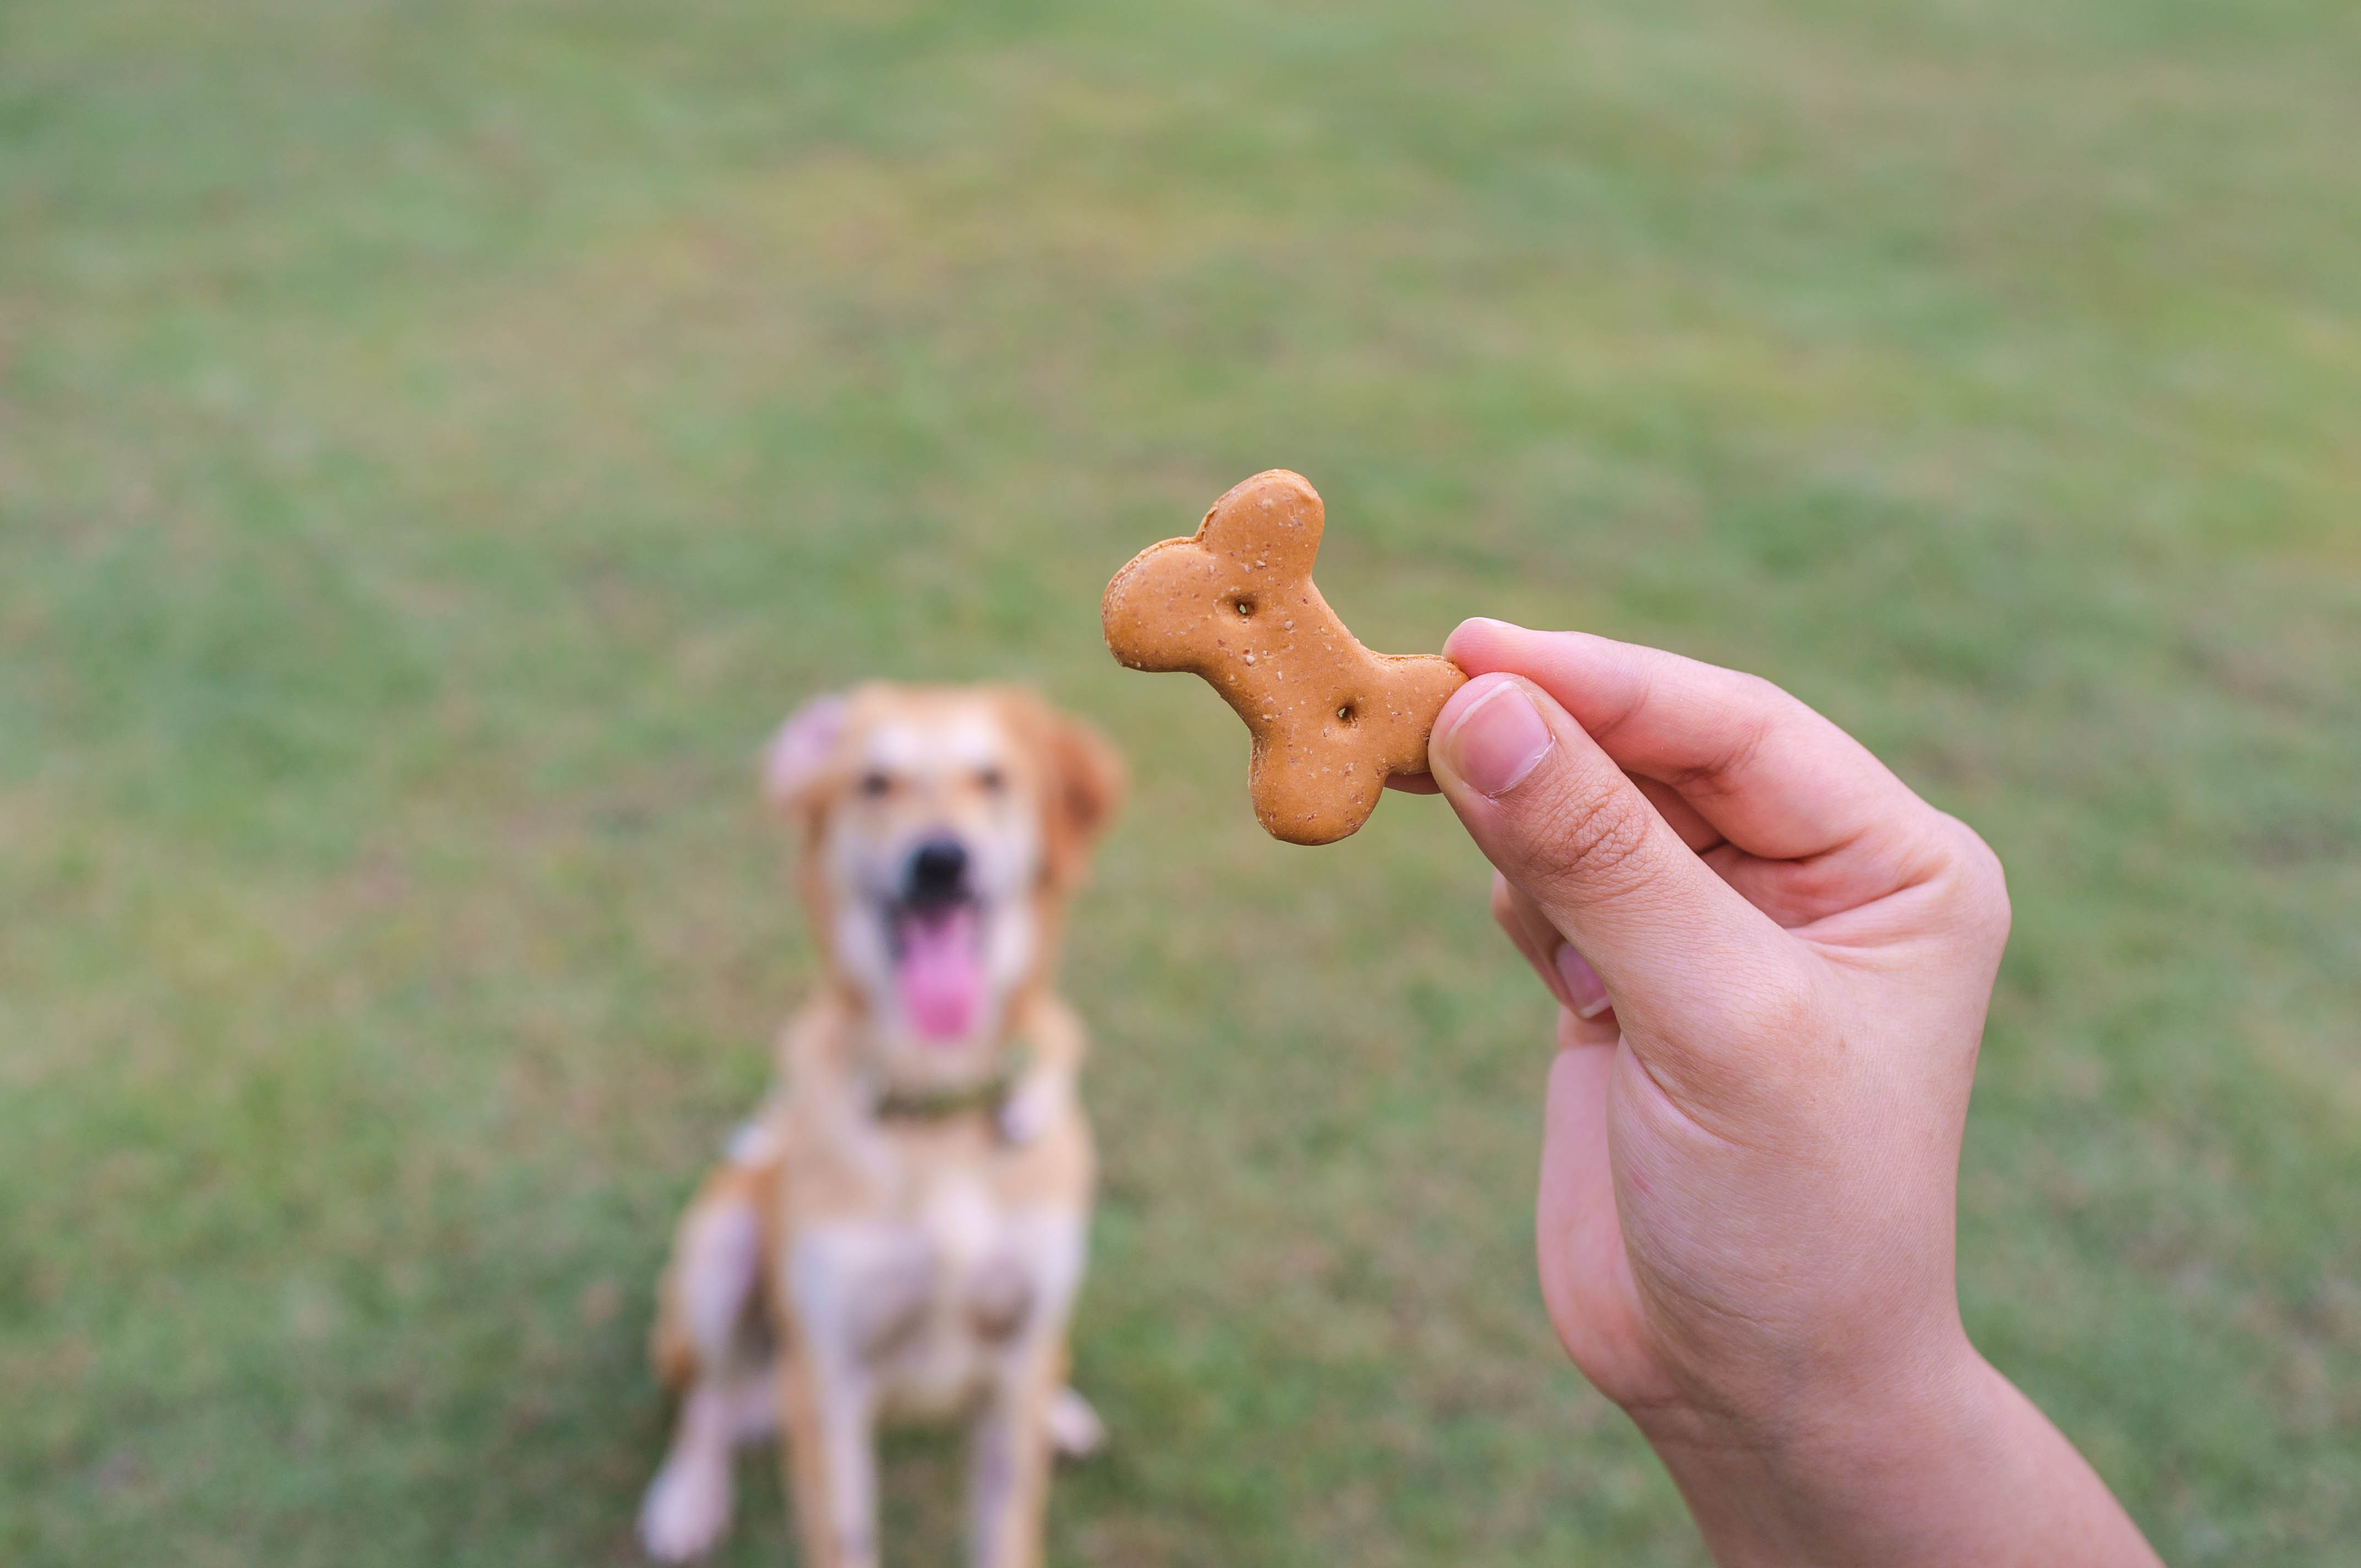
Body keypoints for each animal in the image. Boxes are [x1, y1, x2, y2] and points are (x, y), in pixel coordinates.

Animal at [637, 684, 1124, 1567]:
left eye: (992, 779)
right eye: (873, 783)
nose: (941, 861)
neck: (938, 1104)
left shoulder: (1015, 1358)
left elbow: (1006, 1525)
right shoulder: (829, 1383)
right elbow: (842, 1534)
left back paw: (1063, 1412)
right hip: (719, 1249)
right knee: (707, 1399)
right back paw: (688, 1494)